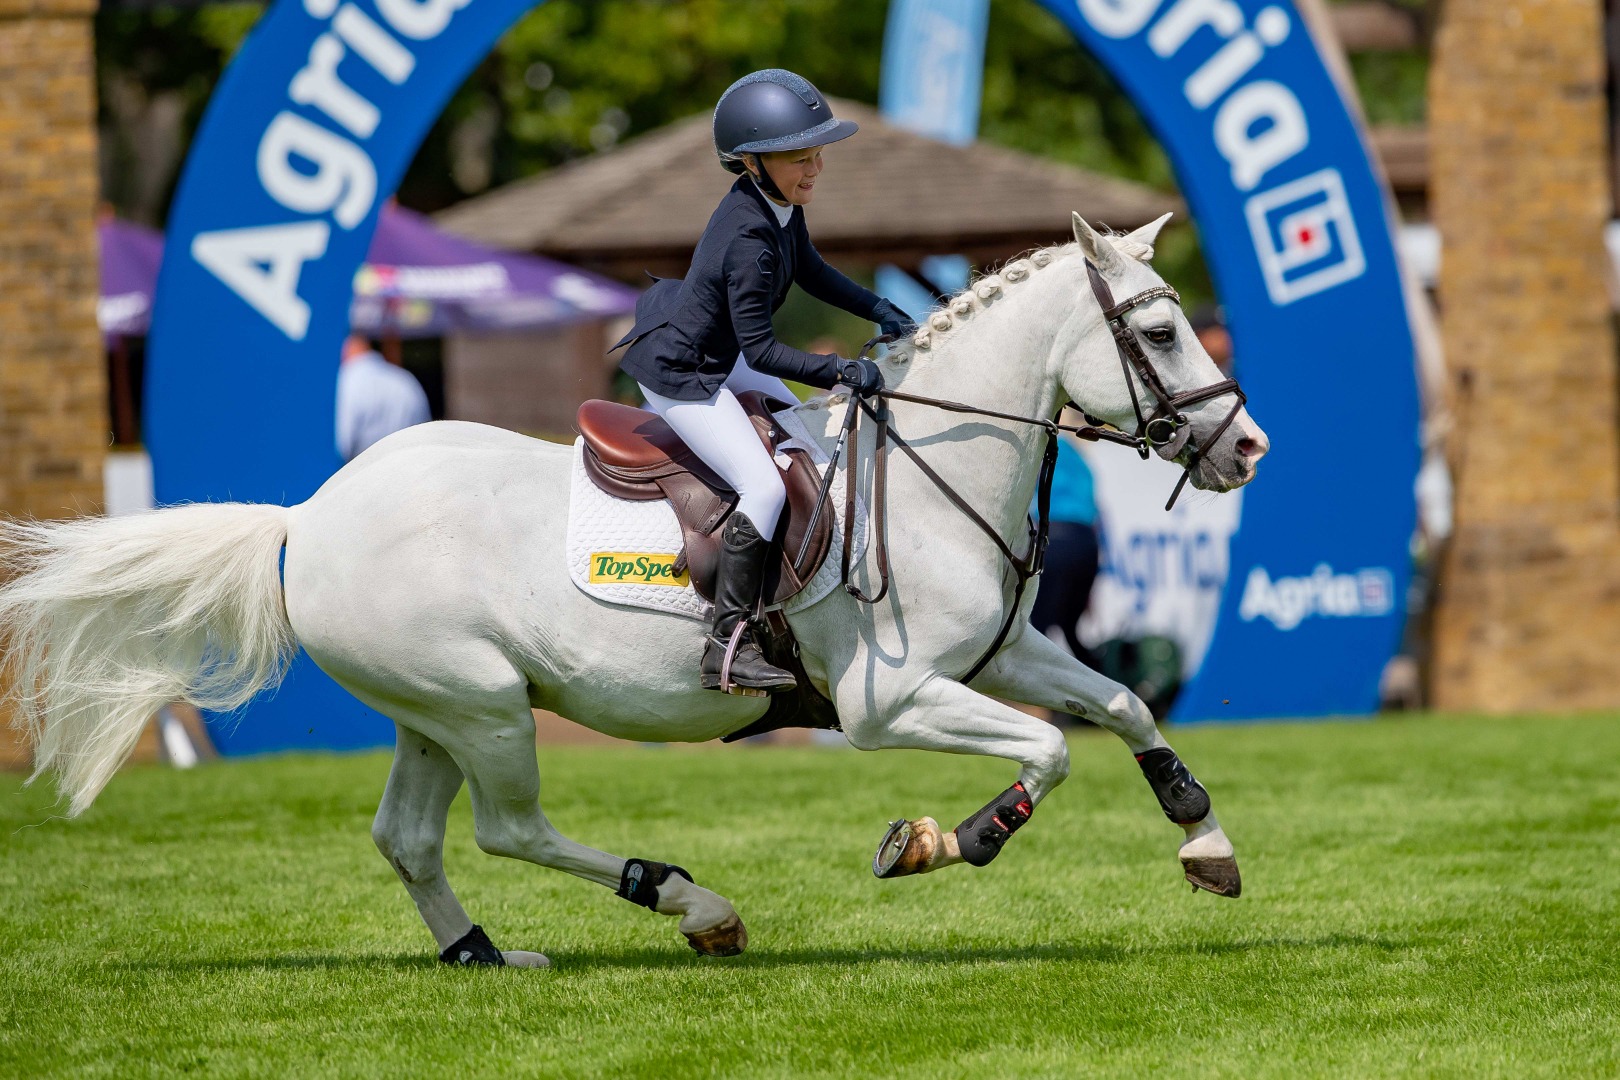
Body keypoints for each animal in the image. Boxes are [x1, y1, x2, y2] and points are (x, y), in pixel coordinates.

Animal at [0, 214, 1268, 967]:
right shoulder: (890, 703)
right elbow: (1046, 753)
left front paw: (1205, 845)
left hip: (433, 713)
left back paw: (480, 954)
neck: (926, 469)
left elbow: (1124, 707)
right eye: (1161, 328)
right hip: (484, 707)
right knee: (509, 826)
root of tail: (308, 516)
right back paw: (690, 906)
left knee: (408, 838)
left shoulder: (1004, 655)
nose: (1246, 449)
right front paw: (934, 844)